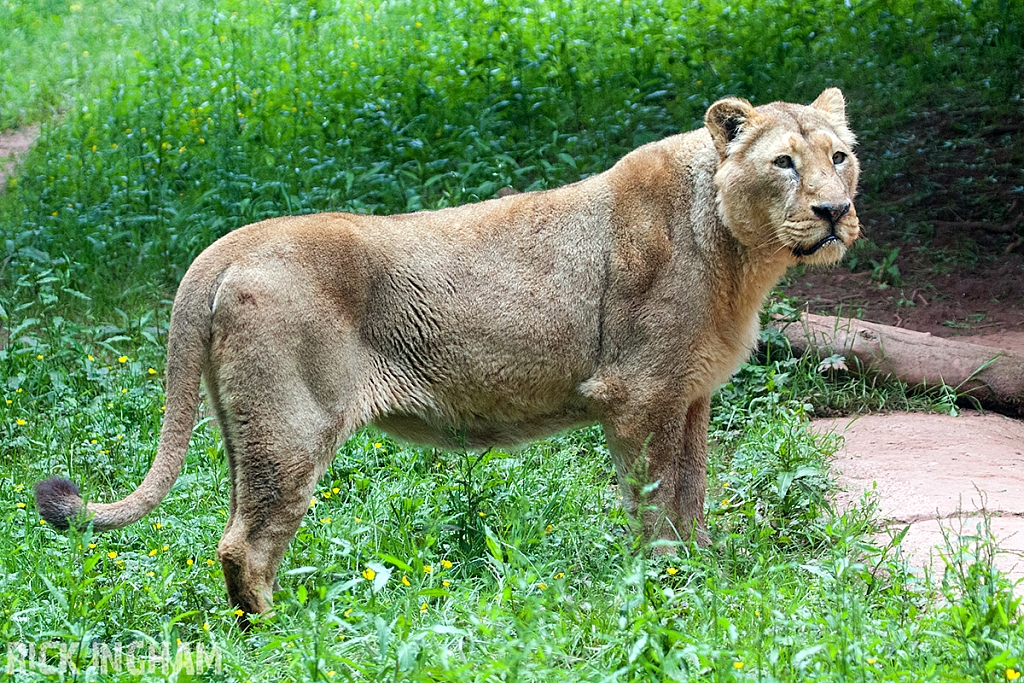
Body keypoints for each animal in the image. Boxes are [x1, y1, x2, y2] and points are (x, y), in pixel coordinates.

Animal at [36, 88, 860, 618]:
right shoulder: (637, 393)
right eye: (785, 163)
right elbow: (656, 502)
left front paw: (702, 571)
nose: (835, 211)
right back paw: (275, 636)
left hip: (249, 428)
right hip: (293, 424)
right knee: (243, 542)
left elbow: (691, 494)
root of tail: (227, 244)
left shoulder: (688, 395)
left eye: (841, 157)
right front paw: (666, 588)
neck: (740, 256)